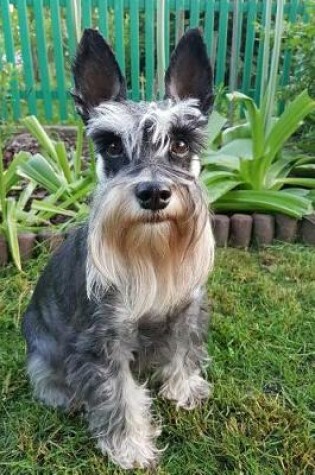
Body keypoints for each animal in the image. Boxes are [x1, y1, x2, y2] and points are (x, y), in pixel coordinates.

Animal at [21, 27, 215, 470]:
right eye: (111, 146)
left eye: (181, 144)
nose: (154, 193)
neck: (151, 254)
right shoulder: (103, 339)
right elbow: (119, 396)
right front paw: (131, 447)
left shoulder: (186, 310)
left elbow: (184, 349)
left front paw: (184, 388)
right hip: (42, 344)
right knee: (44, 372)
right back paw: (63, 394)